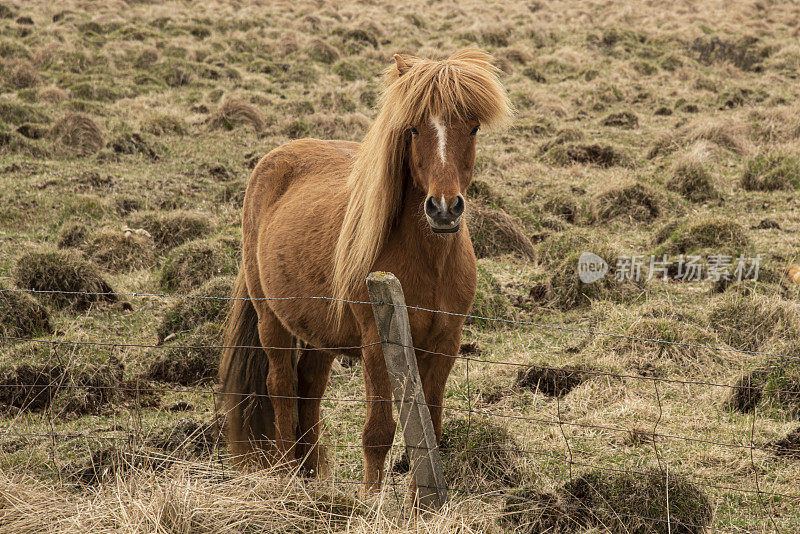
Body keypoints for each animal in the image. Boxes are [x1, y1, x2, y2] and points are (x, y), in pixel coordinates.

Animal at [217, 48, 512, 492]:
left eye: (473, 128)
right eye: (413, 129)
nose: (444, 209)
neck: (430, 263)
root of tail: (271, 161)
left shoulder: (446, 342)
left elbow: (430, 431)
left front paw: (421, 500)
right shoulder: (376, 342)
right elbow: (378, 432)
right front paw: (373, 499)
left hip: (320, 334)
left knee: (308, 389)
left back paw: (310, 478)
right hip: (272, 320)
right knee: (281, 388)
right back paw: (286, 476)